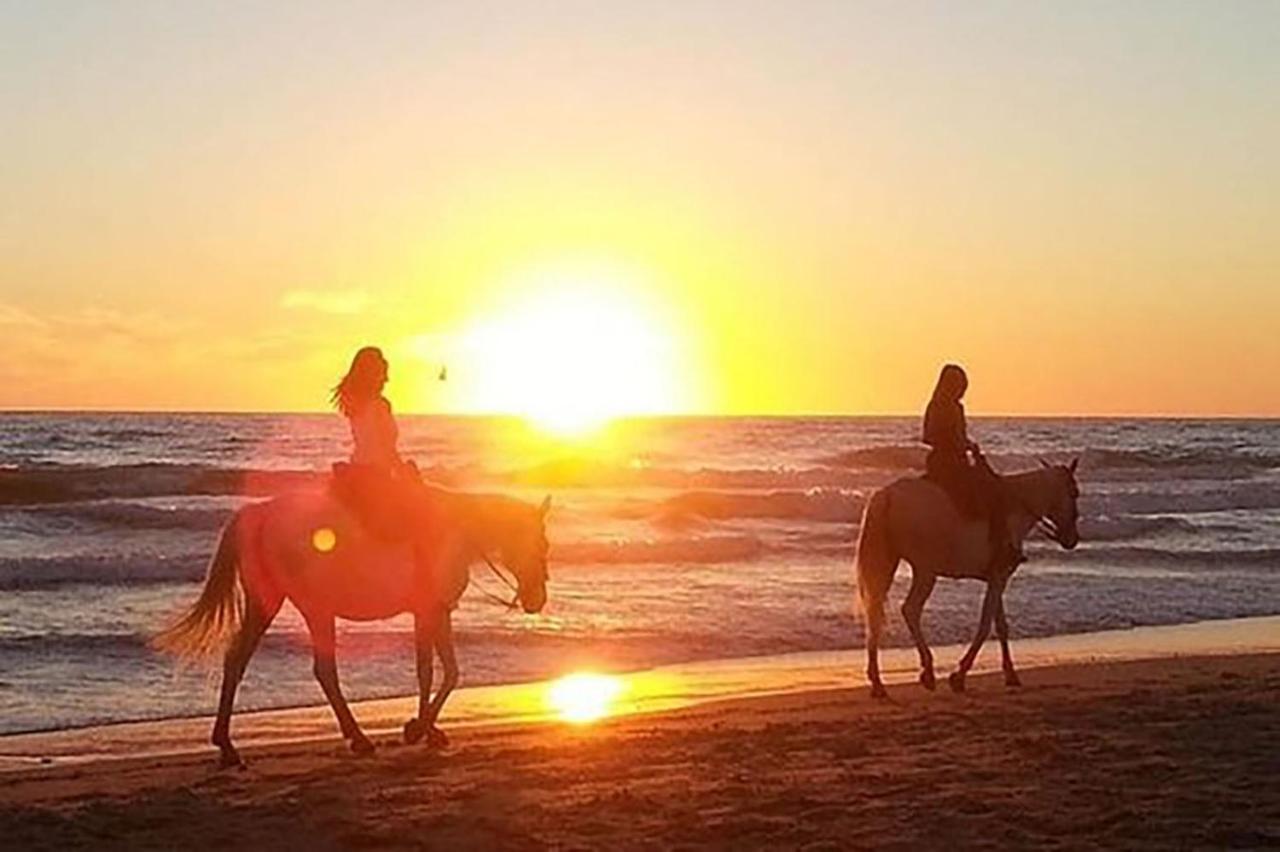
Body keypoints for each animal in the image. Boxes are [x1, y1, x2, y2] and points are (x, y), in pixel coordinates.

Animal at [152, 481, 547, 767]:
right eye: (540, 543)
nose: (537, 600)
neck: (454, 529)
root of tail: (259, 514)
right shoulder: (430, 611)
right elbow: (440, 672)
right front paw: (418, 729)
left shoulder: (433, 612)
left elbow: (436, 670)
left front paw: (428, 729)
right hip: (313, 608)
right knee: (322, 670)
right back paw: (356, 738)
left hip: (269, 603)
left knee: (239, 659)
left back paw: (227, 745)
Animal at [855, 460, 1075, 695]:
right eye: (1075, 493)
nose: (1072, 539)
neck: (1016, 506)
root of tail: (888, 495)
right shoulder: (999, 576)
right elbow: (985, 624)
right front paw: (959, 675)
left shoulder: (995, 578)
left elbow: (1001, 625)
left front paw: (1010, 674)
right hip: (925, 570)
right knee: (910, 610)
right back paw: (927, 671)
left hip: (888, 563)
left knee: (875, 612)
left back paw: (878, 682)